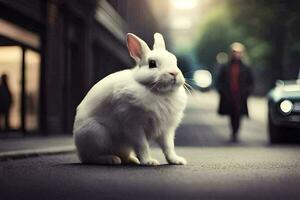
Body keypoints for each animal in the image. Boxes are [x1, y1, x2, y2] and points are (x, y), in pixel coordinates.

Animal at [73, 32, 188, 165]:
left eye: (175, 61)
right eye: (152, 64)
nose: (174, 73)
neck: (160, 93)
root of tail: (78, 146)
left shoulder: (166, 130)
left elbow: (168, 147)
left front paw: (177, 161)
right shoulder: (134, 125)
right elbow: (142, 145)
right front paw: (149, 162)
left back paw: (132, 160)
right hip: (96, 134)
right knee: (90, 157)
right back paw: (111, 159)